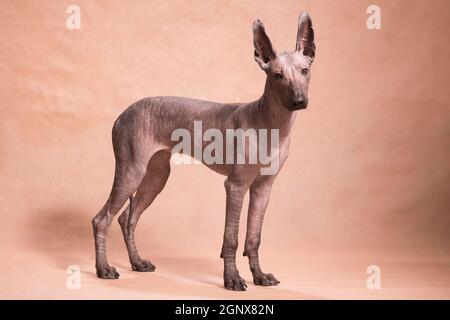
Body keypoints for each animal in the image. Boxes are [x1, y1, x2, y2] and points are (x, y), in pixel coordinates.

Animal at [92, 10, 314, 290]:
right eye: (277, 75)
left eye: (305, 71)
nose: (299, 101)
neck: (270, 124)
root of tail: (122, 114)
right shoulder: (236, 186)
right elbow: (231, 238)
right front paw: (232, 278)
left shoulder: (263, 188)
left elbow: (254, 237)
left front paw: (259, 276)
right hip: (131, 171)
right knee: (102, 219)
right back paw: (103, 269)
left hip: (155, 177)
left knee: (127, 219)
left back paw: (137, 263)